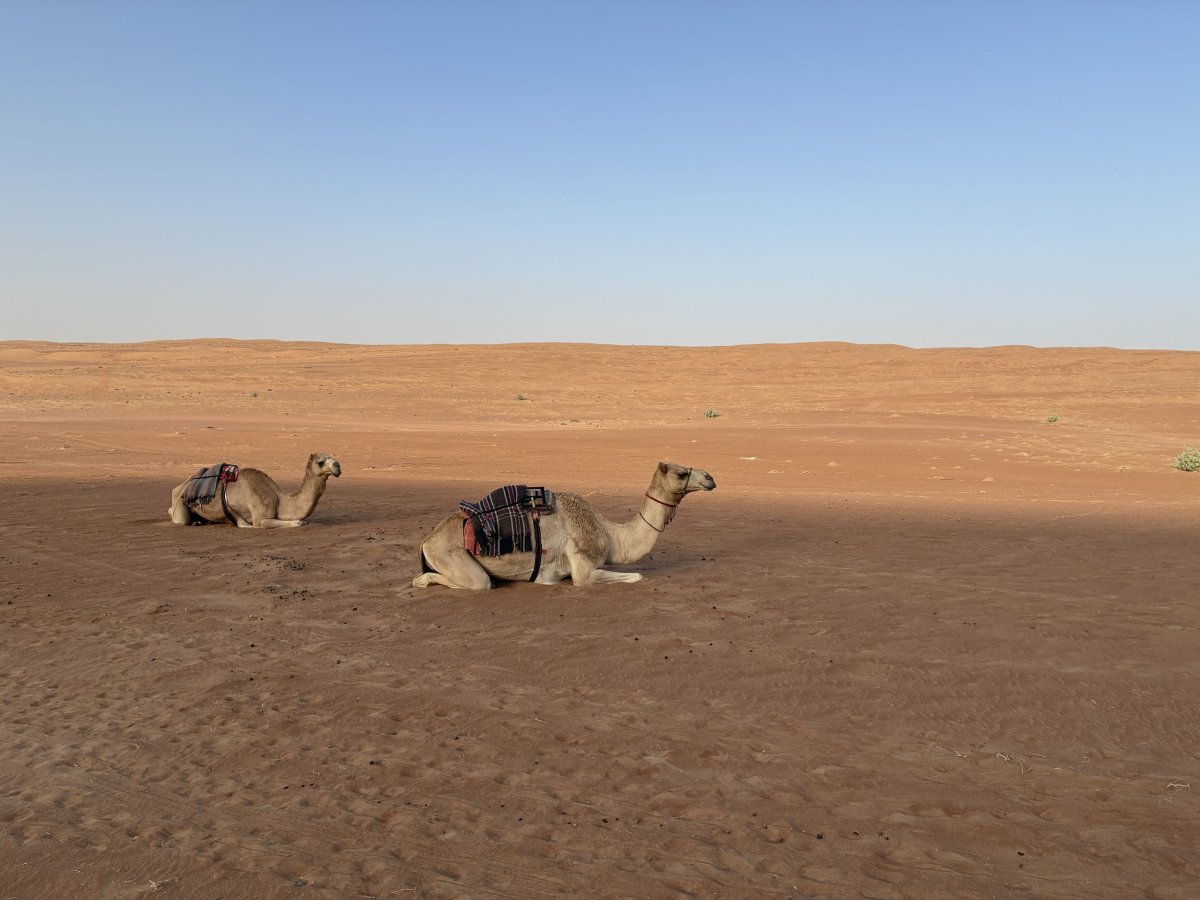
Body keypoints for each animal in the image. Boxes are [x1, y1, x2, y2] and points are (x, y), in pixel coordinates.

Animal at [168, 452, 342, 528]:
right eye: (320, 462)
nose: (338, 466)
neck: (279, 499)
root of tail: (180, 487)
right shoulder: (259, 518)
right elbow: (297, 522)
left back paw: (199, 521)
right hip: (180, 503)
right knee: (179, 518)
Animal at [413, 461, 715, 589]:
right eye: (681, 473)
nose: (710, 477)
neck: (609, 535)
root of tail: (426, 540)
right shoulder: (582, 569)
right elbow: (636, 576)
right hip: (451, 556)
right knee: (475, 582)